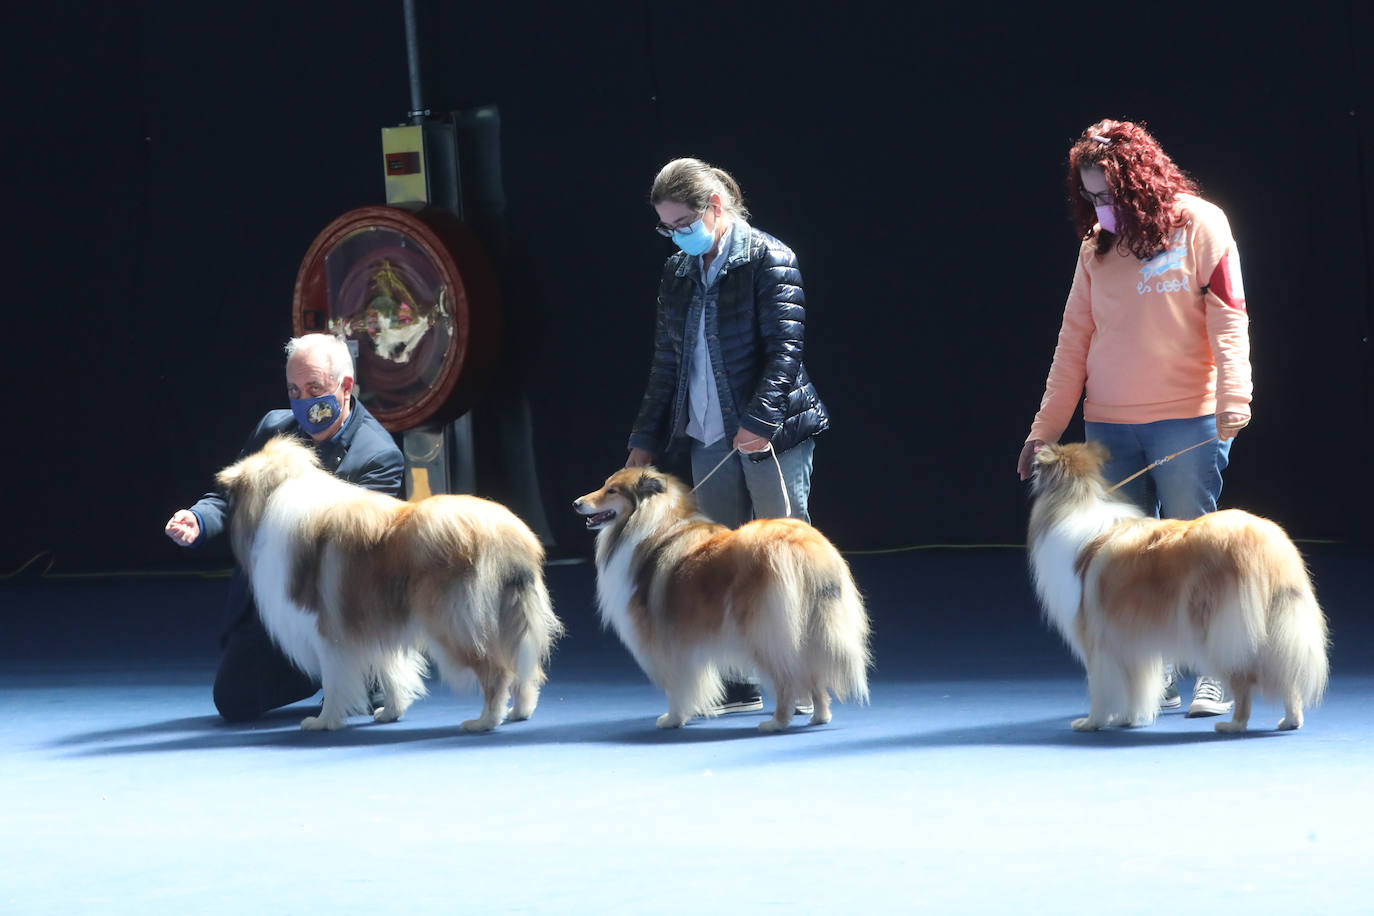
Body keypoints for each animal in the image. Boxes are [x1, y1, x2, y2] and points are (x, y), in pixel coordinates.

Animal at [214, 436, 557, 730]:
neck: (280, 490)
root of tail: (510, 537)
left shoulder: (327, 629)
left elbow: (334, 679)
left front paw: (324, 721)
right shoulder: (374, 622)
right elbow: (390, 672)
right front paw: (391, 711)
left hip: (453, 624)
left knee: (497, 671)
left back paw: (484, 721)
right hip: (508, 617)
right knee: (525, 669)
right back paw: (519, 711)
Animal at [571, 466, 868, 730]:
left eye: (612, 490)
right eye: (605, 485)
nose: (576, 503)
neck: (647, 522)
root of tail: (804, 547)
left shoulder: (665, 640)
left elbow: (675, 686)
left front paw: (673, 719)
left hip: (763, 634)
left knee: (787, 678)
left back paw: (776, 722)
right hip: (812, 628)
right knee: (812, 672)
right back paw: (819, 716)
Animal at [1033, 439, 1330, 736]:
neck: (1076, 500)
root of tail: (1268, 542)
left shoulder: (1097, 636)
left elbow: (1101, 687)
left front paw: (1093, 722)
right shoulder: (1129, 640)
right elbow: (1132, 686)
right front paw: (1126, 718)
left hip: (1217, 630)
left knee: (1244, 678)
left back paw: (1233, 724)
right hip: (1273, 625)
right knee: (1286, 675)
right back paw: (1291, 720)